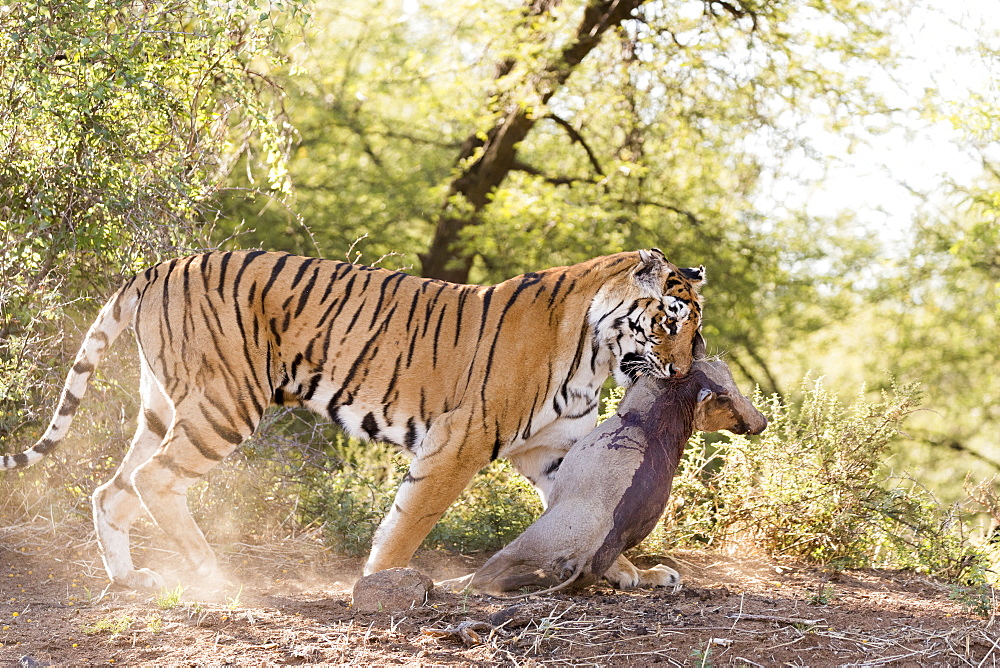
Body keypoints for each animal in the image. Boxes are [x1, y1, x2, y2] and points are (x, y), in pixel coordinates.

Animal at [1, 247, 704, 588]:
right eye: (672, 321)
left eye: (695, 328)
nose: (685, 369)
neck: (595, 352)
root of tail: (157, 266)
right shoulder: (459, 441)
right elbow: (409, 519)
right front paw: (380, 581)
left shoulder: (552, 453)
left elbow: (595, 521)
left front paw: (638, 575)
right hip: (224, 404)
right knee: (154, 481)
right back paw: (213, 575)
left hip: (163, 407)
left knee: (111, 489)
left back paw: (130, 579)